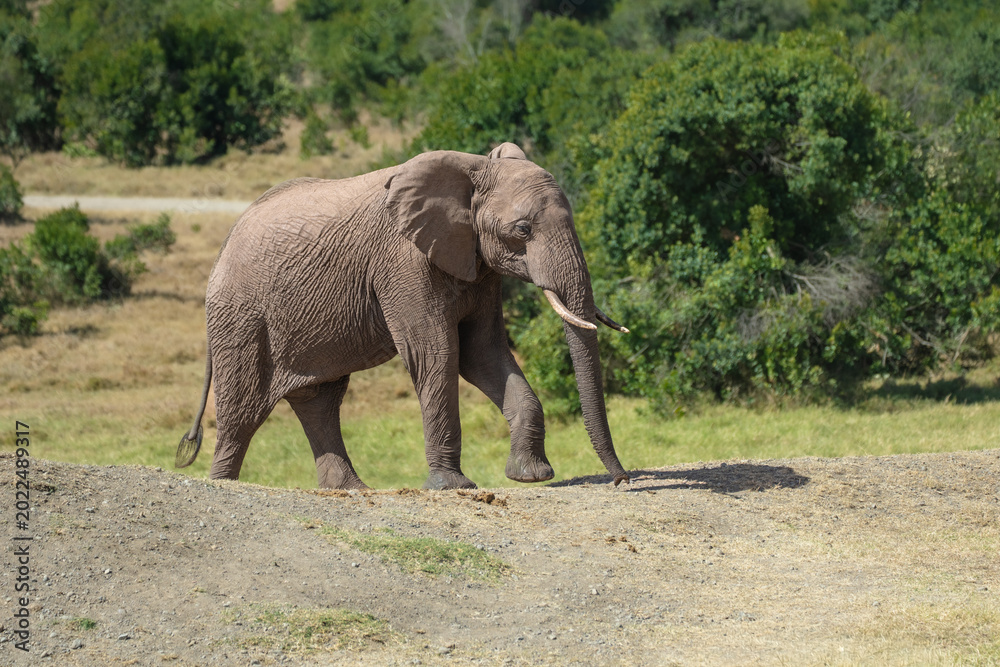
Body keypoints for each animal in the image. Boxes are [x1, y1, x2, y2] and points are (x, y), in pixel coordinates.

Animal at [175, 142, 630, 490]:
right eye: (522, 230)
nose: (621, 479)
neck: (472, 167)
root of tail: (226, 241)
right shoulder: (403, 262)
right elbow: (438, 354)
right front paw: (452, 487)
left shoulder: (477, 264)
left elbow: (483, 354)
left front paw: (531, 477)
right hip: (241, 316)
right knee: (242, 410)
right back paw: (224, 484)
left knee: (320, 401)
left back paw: (352, 491)